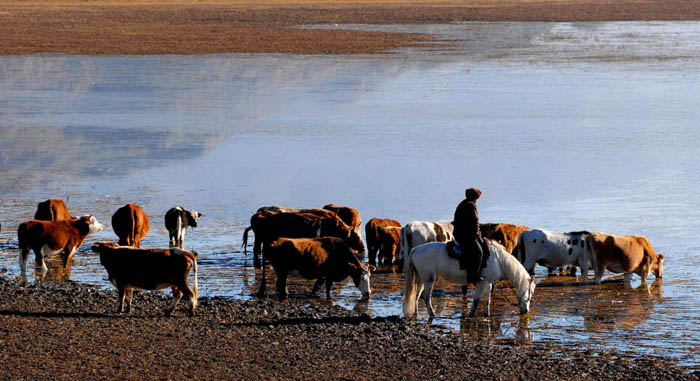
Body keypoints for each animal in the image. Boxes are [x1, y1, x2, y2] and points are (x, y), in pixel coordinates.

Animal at [404, 239, 536, 316]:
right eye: (530, 294)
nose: (526, 311)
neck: (498, 259)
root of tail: (415, 249)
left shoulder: (488, 284)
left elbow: (487, 301)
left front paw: (487, 315)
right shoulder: (482, 283)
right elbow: (476, 301)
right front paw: (472, 315)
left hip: (421, 279)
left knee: (417, 296)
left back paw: (416, 313)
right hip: (429, 279)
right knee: (427, 298)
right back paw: (432, 315)